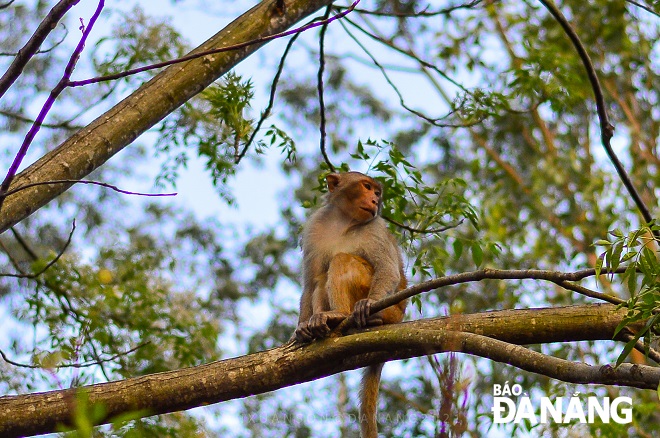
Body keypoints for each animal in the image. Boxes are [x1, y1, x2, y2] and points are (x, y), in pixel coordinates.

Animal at [296, 170, 408, 438]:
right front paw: (301, 328)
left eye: (376, 192)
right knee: (321, 276)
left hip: (392, 309)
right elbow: (309, 284)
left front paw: (369, 303)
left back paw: (345, 314)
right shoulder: (314, 228)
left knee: (341, 260)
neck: (344, 222)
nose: (375, 201)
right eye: (367, 187)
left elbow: (387, 269)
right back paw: (321, 322)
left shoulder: (376, 229)